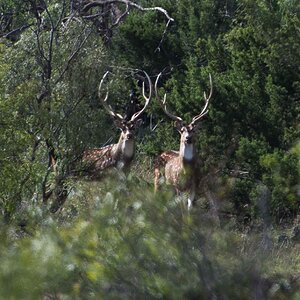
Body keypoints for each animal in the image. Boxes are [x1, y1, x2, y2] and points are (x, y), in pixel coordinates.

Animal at [154, 72, 212, 209]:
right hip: (158, 178)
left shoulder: (195, 185)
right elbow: (181, 207)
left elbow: (189, 207)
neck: (186, 172)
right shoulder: (177, 185)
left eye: (193, 130)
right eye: (182, 130)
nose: (188, 138)